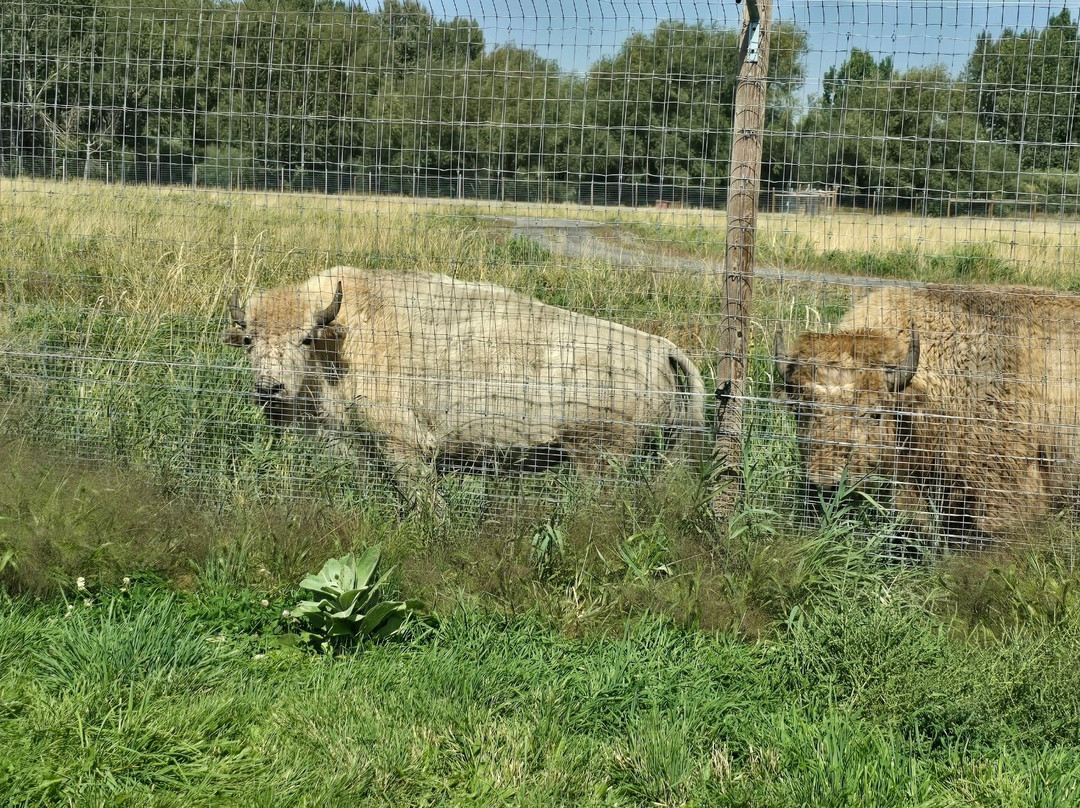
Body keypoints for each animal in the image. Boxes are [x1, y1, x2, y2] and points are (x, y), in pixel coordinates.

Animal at [223, 267, 708, 501]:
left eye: (305, 338)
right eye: (249, 340)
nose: (268, 388)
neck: (342, 339)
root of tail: (658, 347)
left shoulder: (402, 443)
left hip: (598, 455)